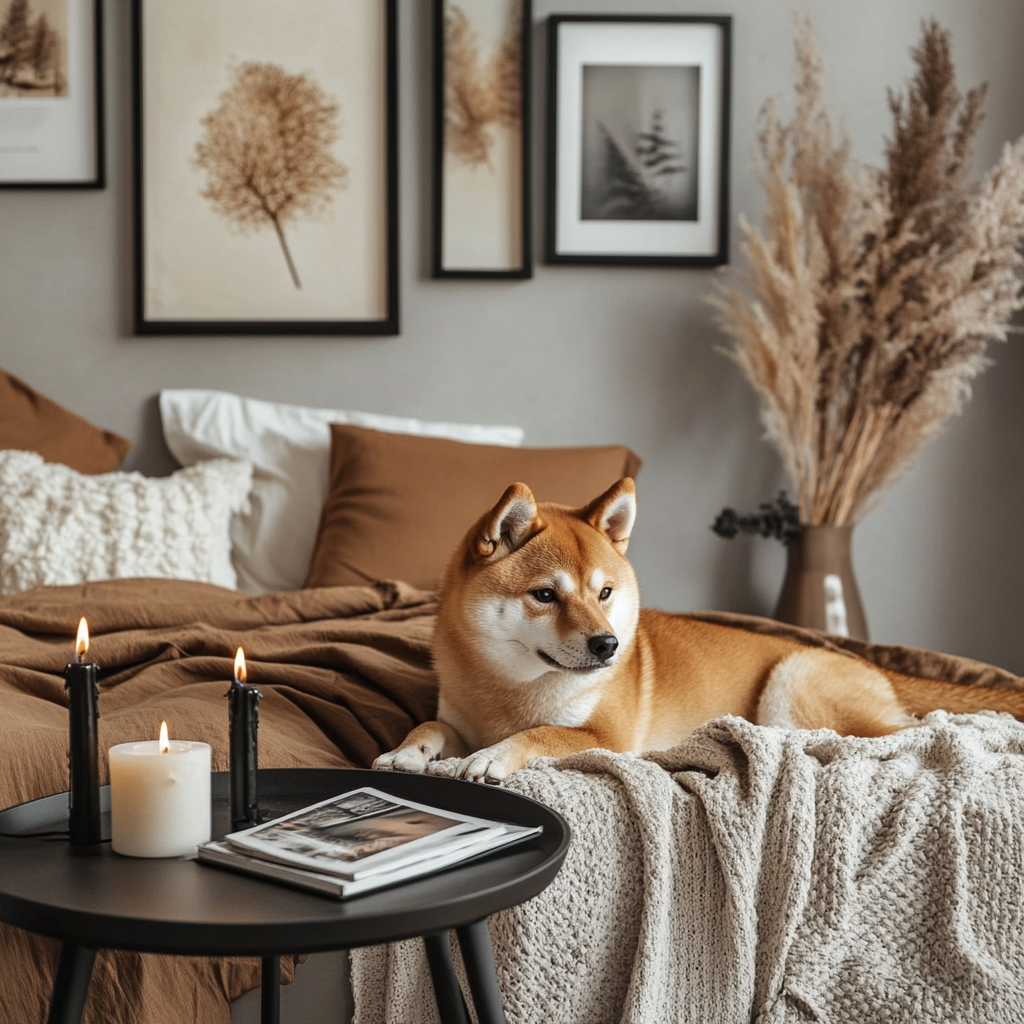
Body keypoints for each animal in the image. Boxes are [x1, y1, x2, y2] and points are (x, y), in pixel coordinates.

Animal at [372, 479, 1019, 782]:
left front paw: (494, 758)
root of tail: (869, 662)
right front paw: (407, 751)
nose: (608, 644)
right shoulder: (460, 718)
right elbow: (431, 725)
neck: (509, 690)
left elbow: (543, 735)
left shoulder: (604, 737)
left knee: (920, 730)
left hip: (795, 683)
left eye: (604, 594)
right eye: (546, 595)